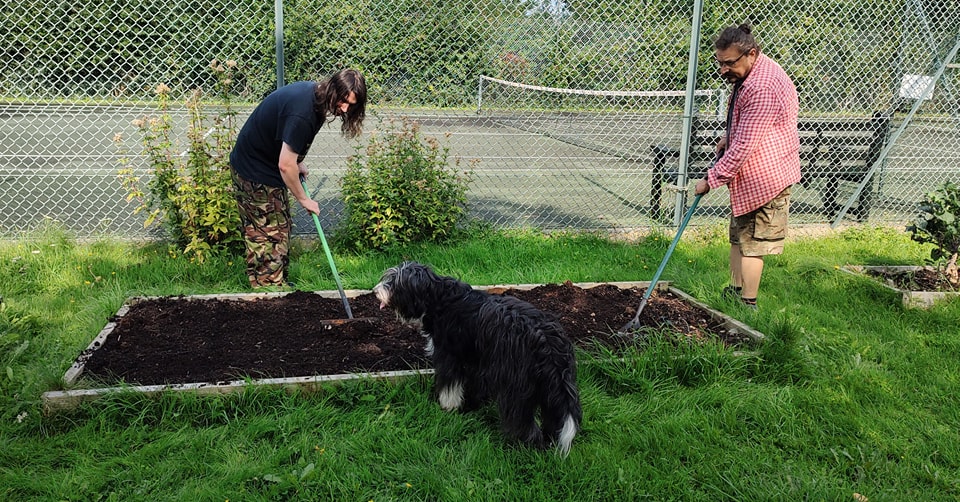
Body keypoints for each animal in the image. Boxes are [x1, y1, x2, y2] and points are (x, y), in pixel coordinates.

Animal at [374, 262, 584, 454]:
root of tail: (546, 339)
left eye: (394, 283)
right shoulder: (477, 359)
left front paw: (448, 407)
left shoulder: (449, 356)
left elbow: (449, 386)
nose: (375, 291)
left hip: (516, 384)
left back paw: (523, 445)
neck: (438, 298)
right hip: (551, 385)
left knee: (521, 419)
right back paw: (548, 441)